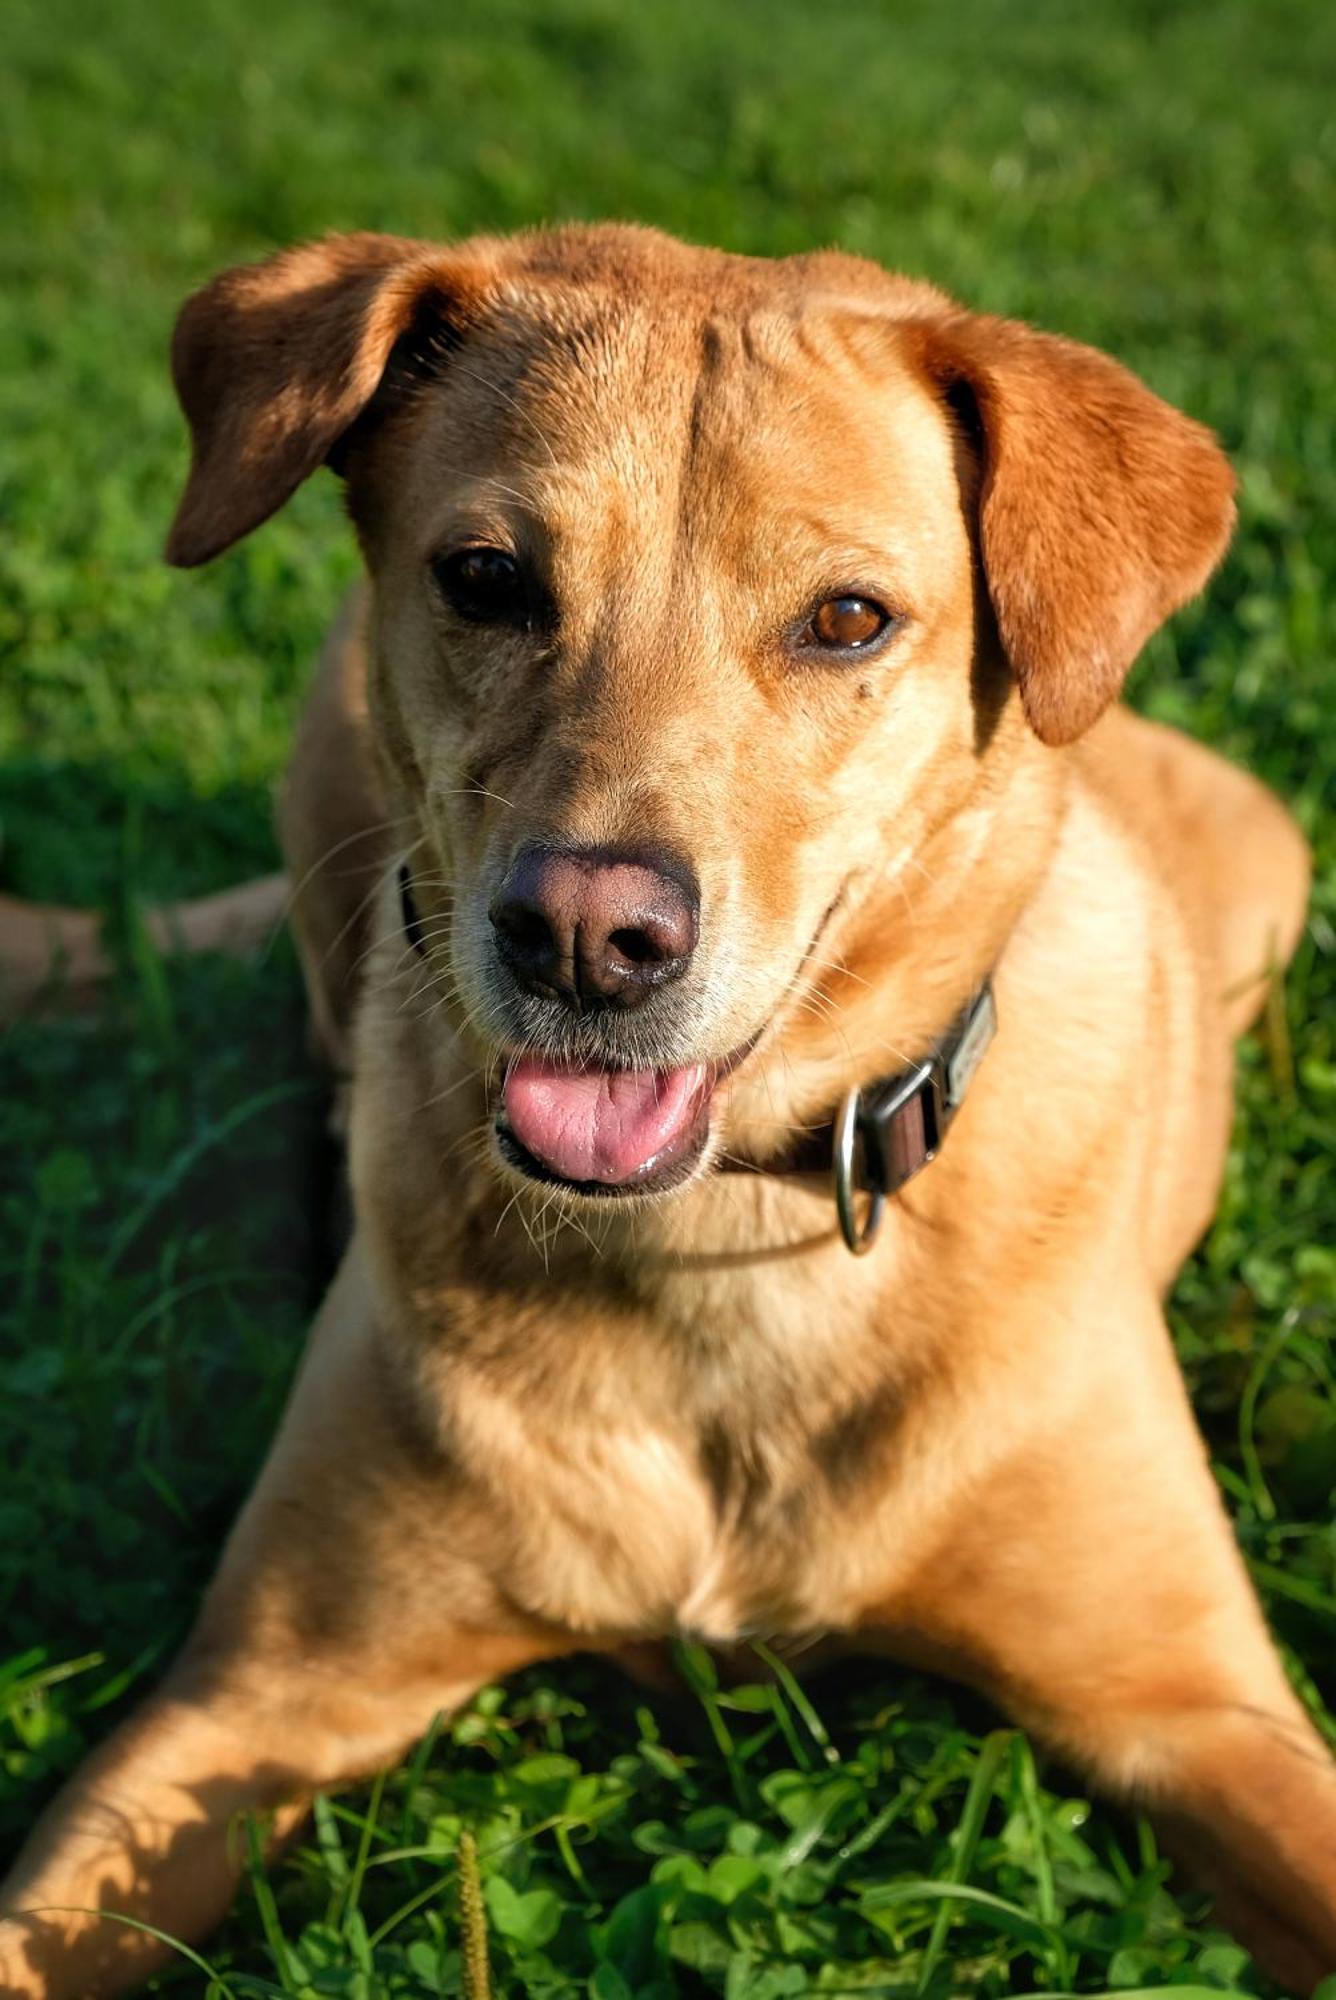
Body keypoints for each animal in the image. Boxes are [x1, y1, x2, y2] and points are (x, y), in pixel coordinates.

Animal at [5, 227, 1328, 1992]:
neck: (719, 1237)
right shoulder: (248, 1702)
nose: (585, 938)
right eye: (487, 578)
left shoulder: (1196, 1707)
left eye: (848, 618)